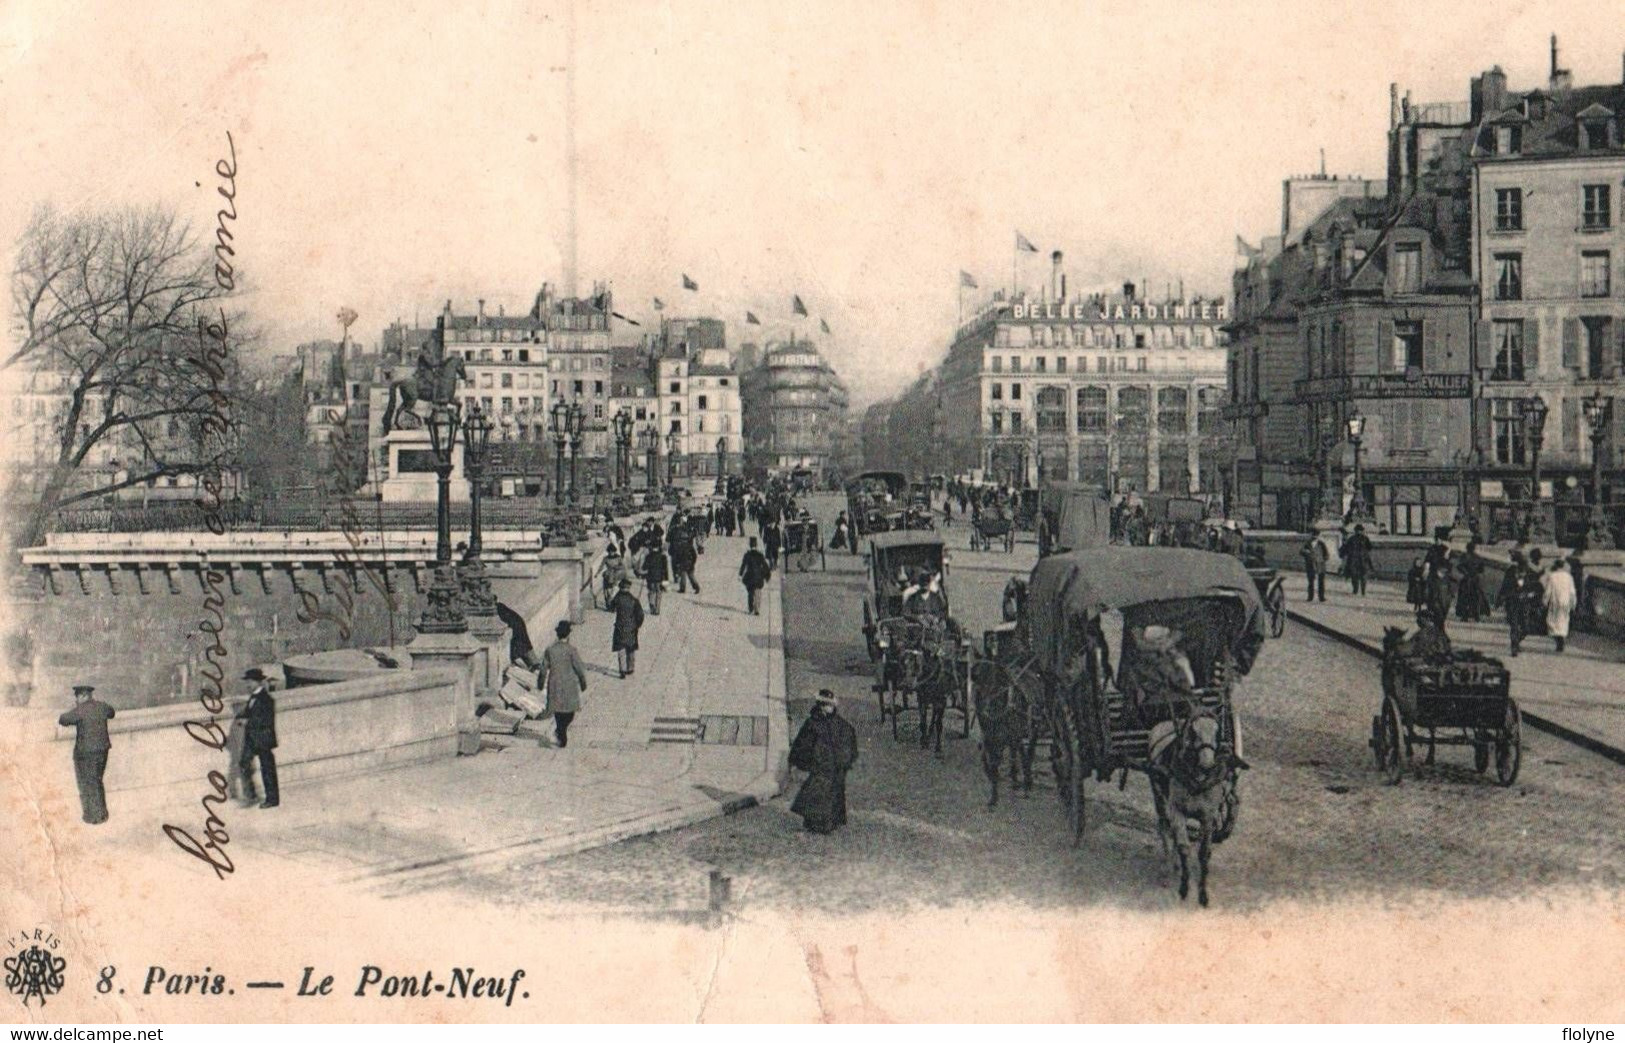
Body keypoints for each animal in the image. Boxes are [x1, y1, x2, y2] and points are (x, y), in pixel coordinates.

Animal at [1144, 701, 1241, 903]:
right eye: (1193, 731)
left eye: (1217, 731)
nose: (1207, 764)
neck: (1197, 779)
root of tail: (1163, 723)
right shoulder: (1177, 811)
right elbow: (1184, 847)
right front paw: (1183, 887)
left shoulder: (1208, 815)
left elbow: (1204, 852)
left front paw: (1203, 893)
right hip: (1159, 797)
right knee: (1164, 828)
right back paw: (1168, 868)